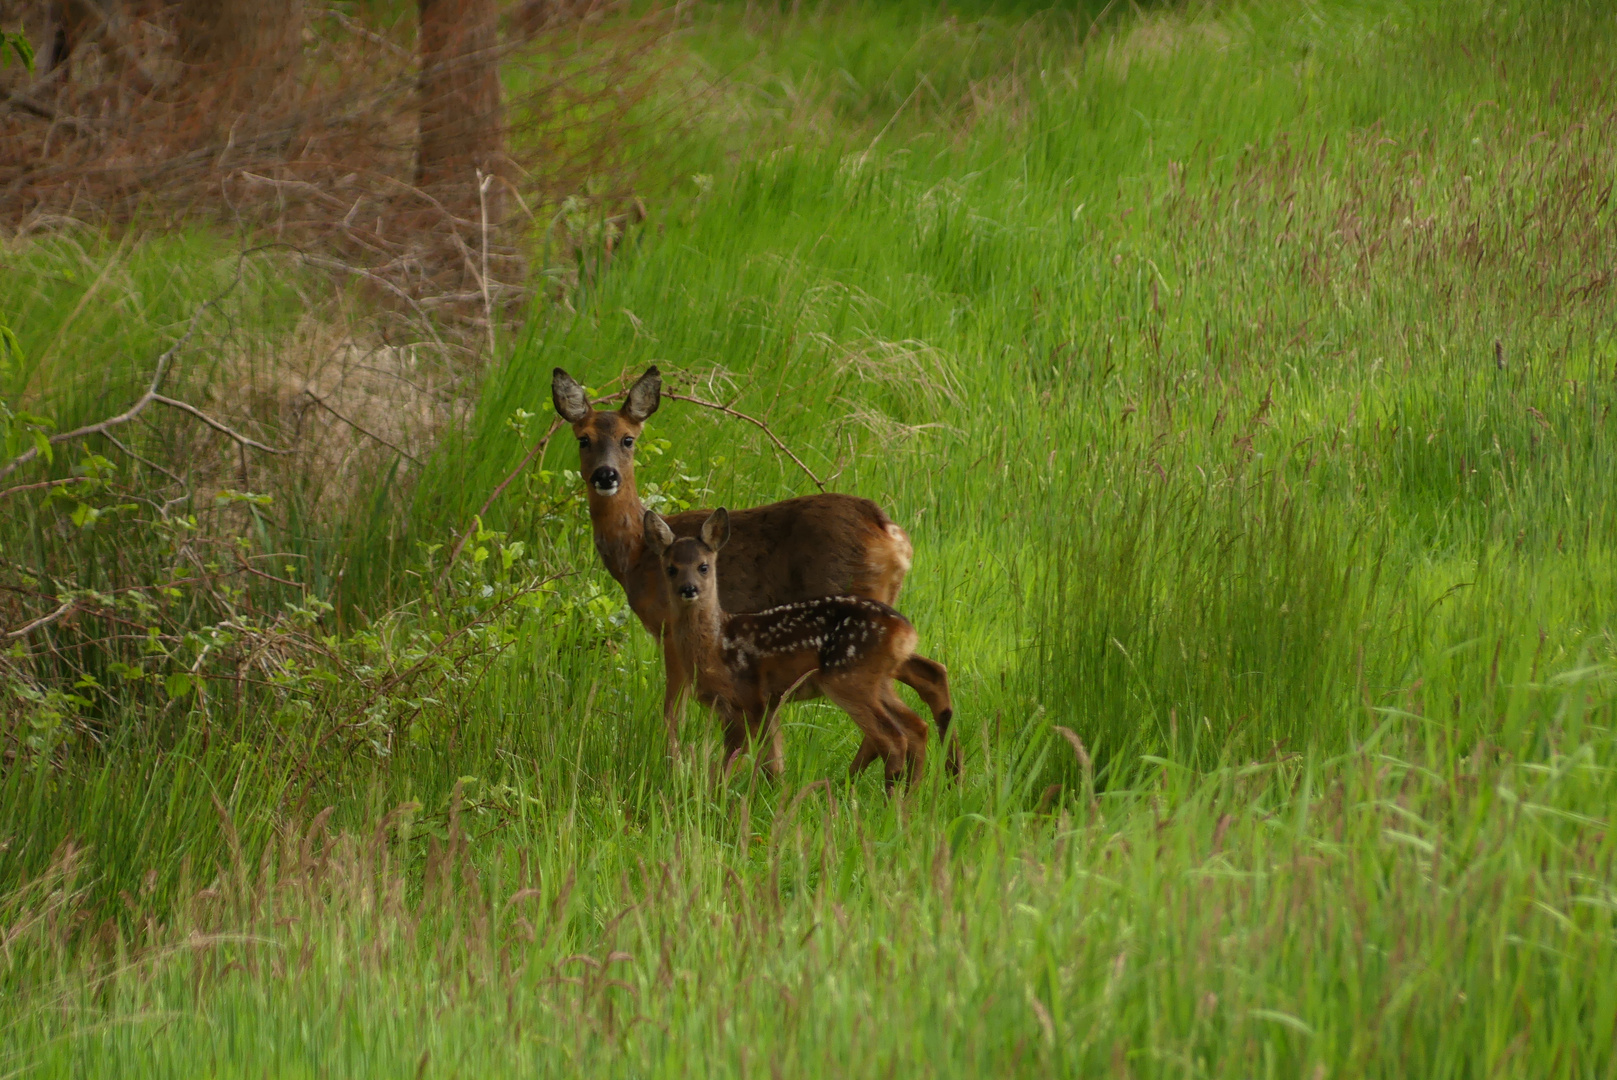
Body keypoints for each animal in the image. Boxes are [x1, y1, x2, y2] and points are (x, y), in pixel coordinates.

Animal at [640, 507, 931, 785]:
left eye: (703, 566)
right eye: (671, 568)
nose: (688, 589)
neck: (716, 644)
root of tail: (905, 631)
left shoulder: (748, 698)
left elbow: (736, 763)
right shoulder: (759, 704)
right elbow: (772, 762)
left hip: (848, 679)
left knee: (893, 738)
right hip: (877, 682)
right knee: (916, 726)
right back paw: (909, 794)